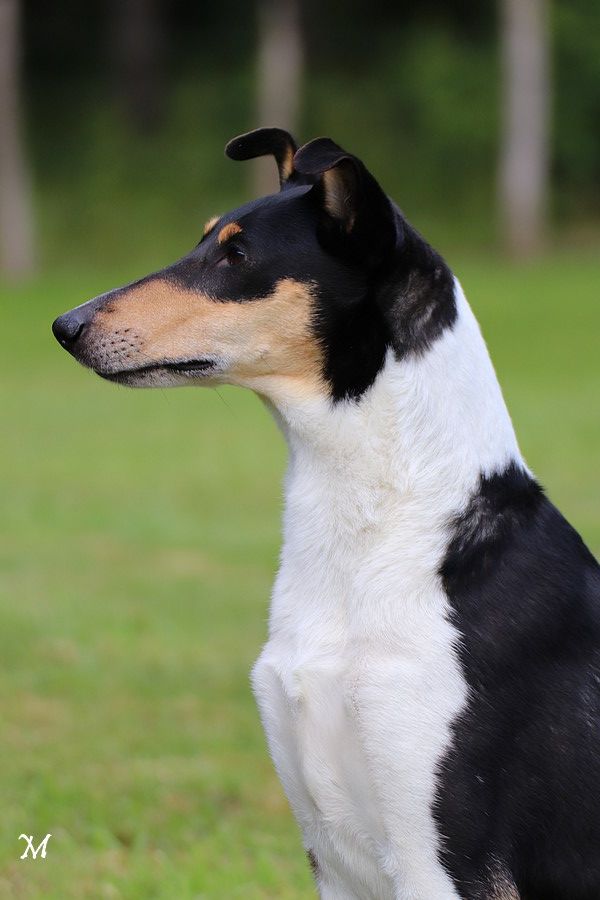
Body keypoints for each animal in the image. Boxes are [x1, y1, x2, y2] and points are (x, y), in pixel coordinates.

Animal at [52, 128, 600, 900]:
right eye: (205, 239)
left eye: (237, 255)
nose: (64, 325)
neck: (368, 536)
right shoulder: (333, 856)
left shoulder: (443, 858)